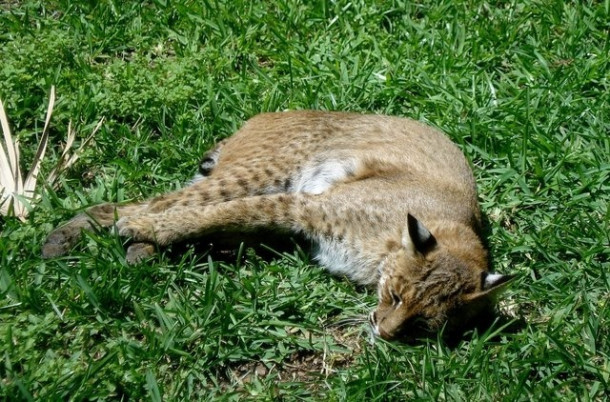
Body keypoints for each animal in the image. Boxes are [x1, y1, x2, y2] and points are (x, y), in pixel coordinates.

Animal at [41, 111, 512, 340]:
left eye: (424, 324)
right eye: (395, 297)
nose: (385, 333)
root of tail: (270, 112)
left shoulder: (296, 225)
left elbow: (228, 223)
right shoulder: (305, 205)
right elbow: (225, 214)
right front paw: (146, 230)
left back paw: (136, 246)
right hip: (264, 171)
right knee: (148, 202)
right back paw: (83, 235)